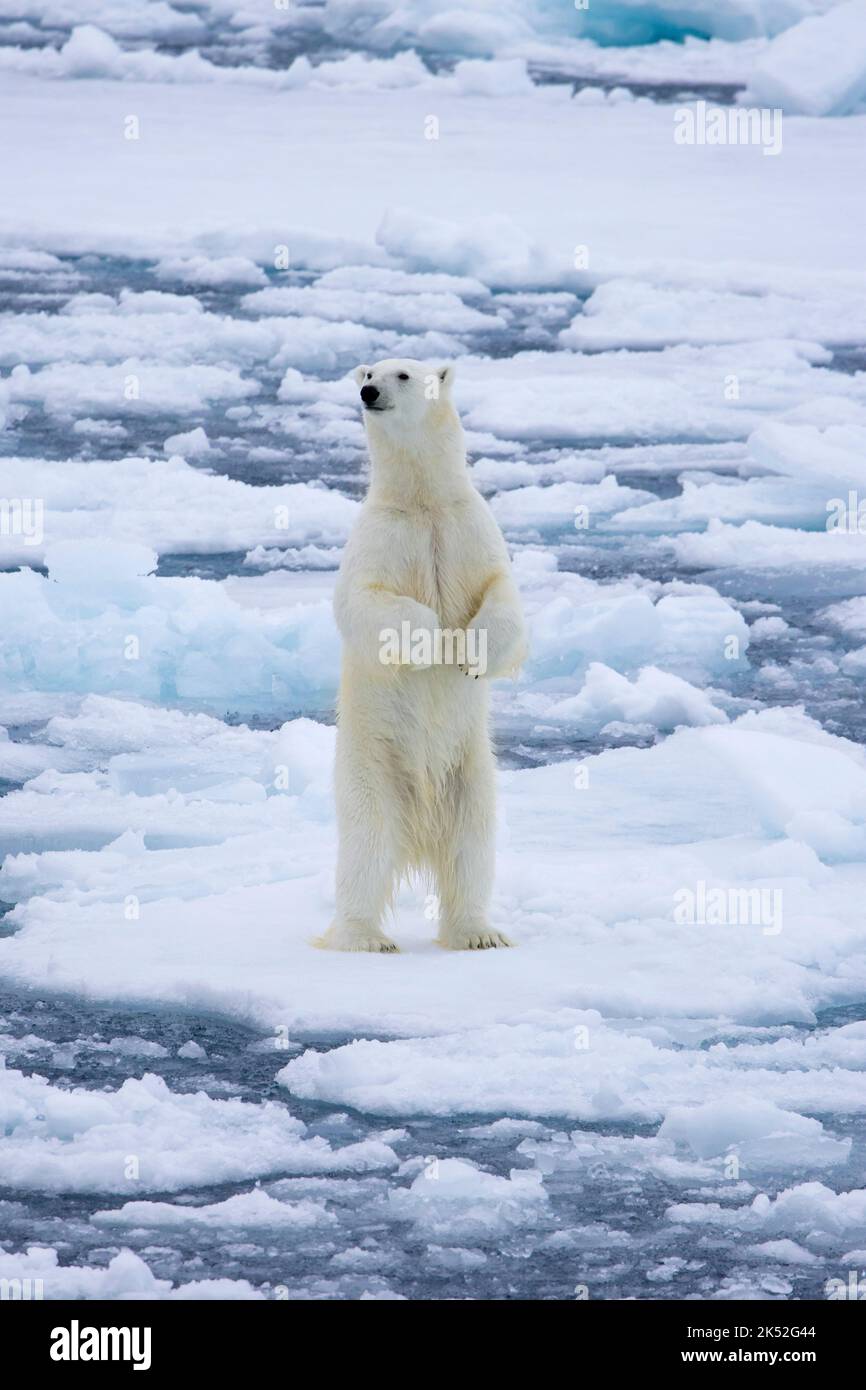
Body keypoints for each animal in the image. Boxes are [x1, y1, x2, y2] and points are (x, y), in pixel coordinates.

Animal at [316, 355, 525, 956]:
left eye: (403, 375)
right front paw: (431, 636)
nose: (368, 392)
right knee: (366, 847)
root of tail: (420, 832)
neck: (422, 500)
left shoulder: (468, 527)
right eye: (367, 371)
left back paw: (478, 932)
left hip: (471, 771)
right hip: (370, 768)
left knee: (472, 846)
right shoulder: (380, 535)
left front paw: (472, 654)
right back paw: (364, 937)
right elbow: (362, 600)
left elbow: (502, 592)